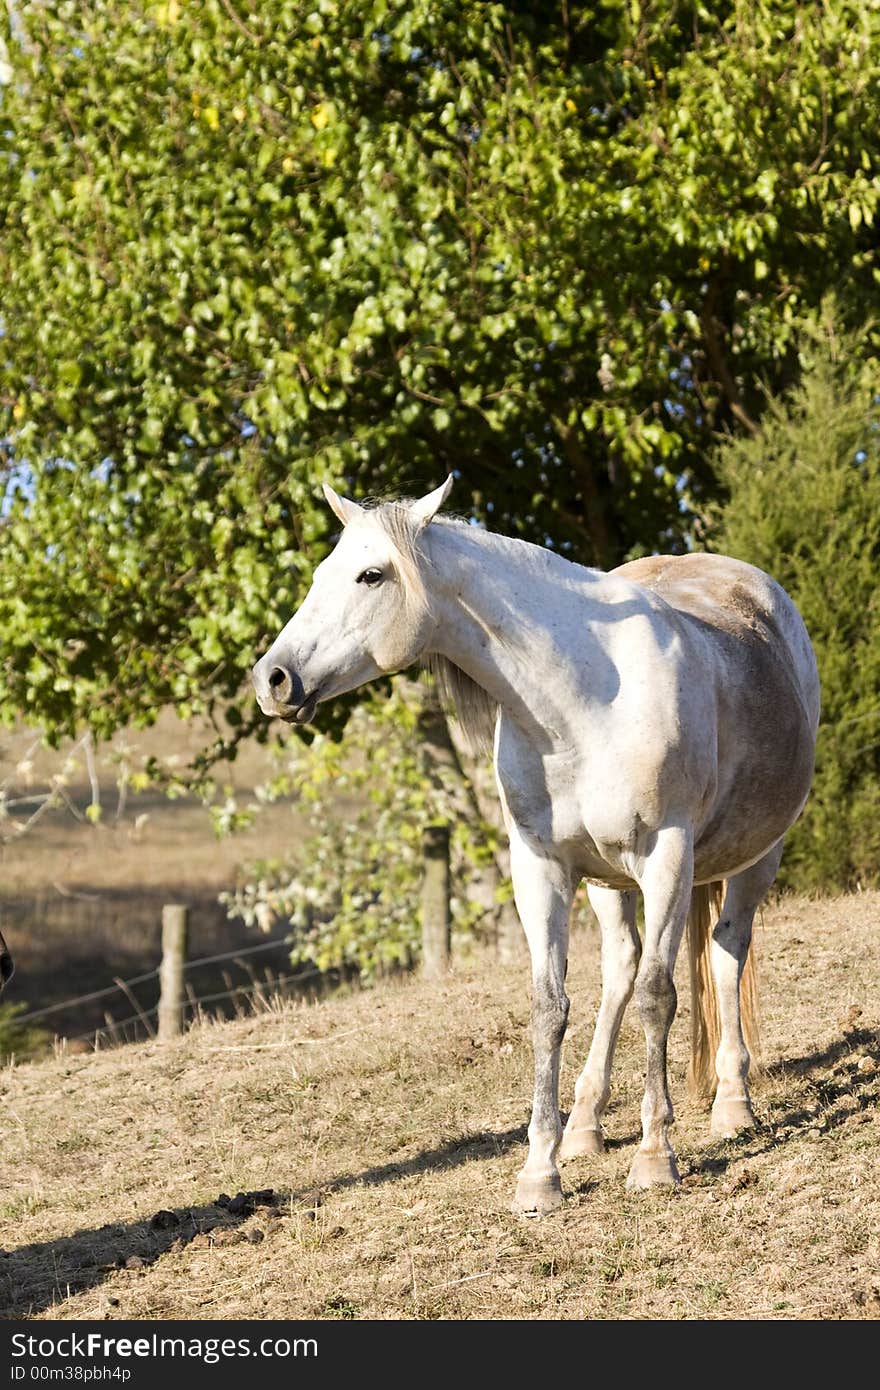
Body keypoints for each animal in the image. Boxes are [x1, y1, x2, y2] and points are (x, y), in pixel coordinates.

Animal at [251, 475, 817, 1206]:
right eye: (323, 573)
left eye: (371, 575)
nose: (273, 679)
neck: (583, 701)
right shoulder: (541, 866)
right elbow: (551, 1008)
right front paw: (540, 1173)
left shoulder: (667, 857)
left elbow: (660, 999)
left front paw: (655, 1158)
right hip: (608, 881)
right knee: (621, 969)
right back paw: (585, 1125)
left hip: (753, 859)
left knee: (722, 956)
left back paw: (732, 1106)